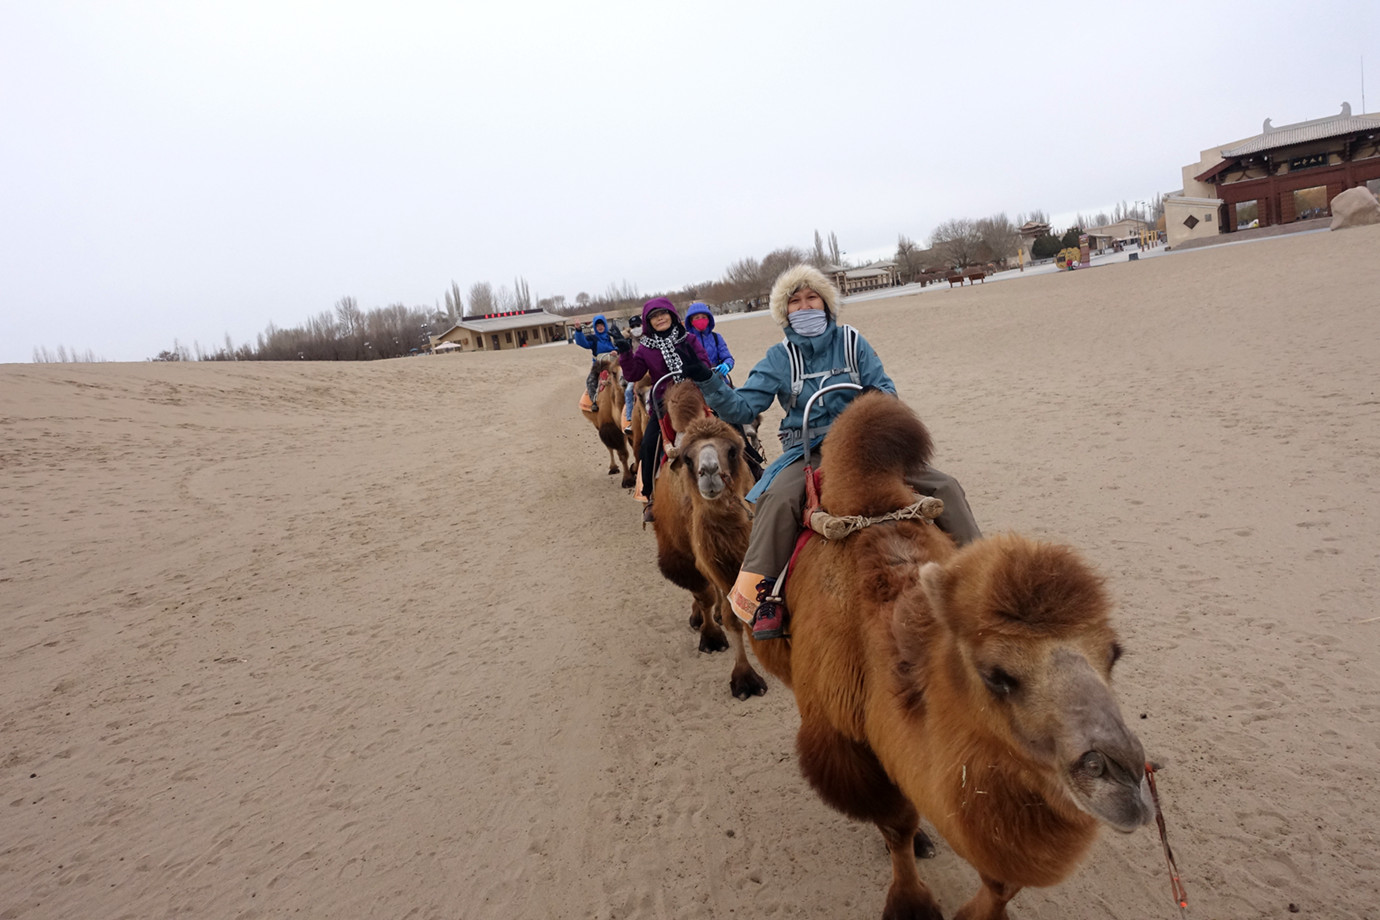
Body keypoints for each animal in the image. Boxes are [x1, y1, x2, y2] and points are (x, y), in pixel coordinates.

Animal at [579, 355, 632, 493]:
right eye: (613, 372)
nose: (625, 380)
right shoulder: (609, 428)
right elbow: (622, 453)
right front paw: (628, 480)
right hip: (597, 424)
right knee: (609, 447)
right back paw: (613, 468)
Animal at [654, 386, 772, 700]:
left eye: (732, 450)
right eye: (687, 458)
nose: (708, 471)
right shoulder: (690, 558)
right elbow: (715, 603)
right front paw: (742, 675)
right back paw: (703, 618)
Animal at [745, 391, 1153, 920]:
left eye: (1114, 654)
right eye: (997, 674)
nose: (1124, 778)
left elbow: (1000, 876)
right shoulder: (842, 741)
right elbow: (896, 822)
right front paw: (909, 899)